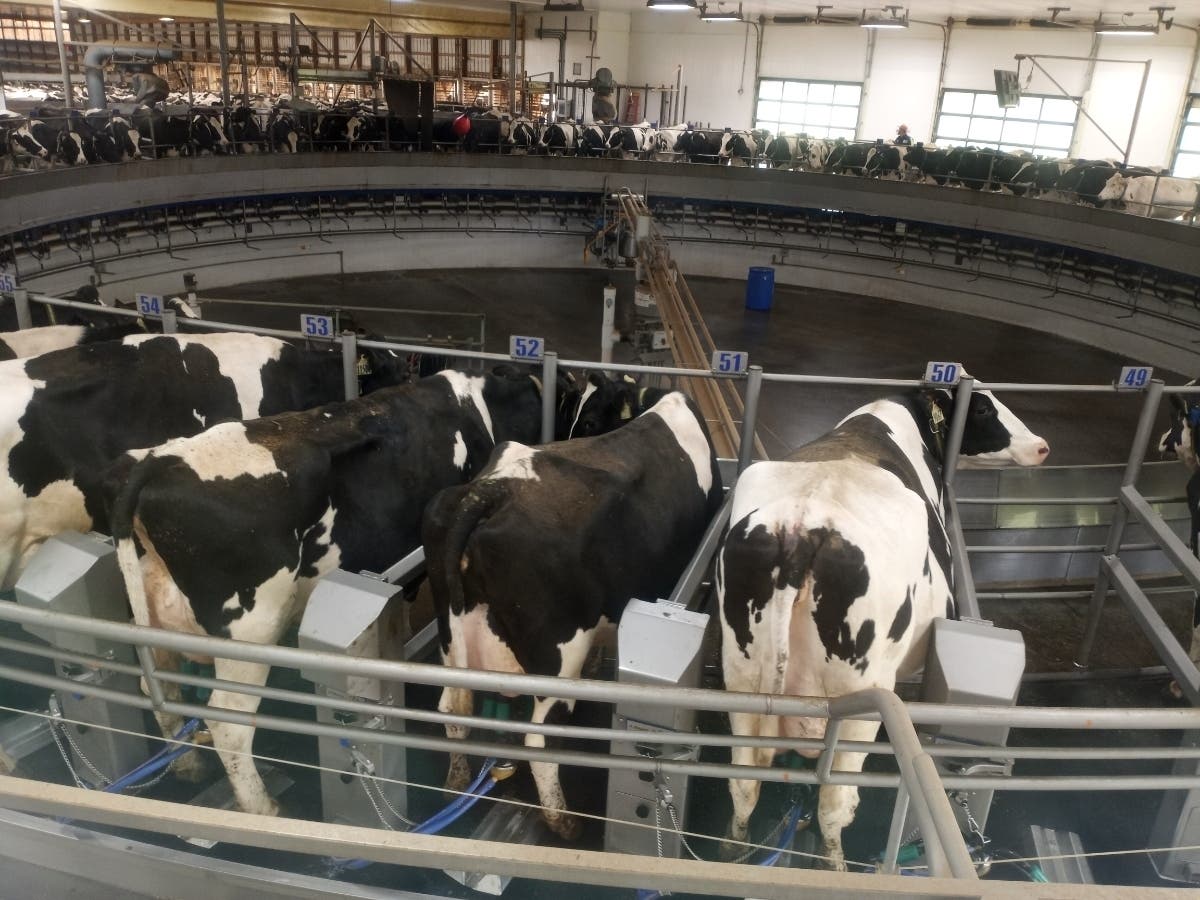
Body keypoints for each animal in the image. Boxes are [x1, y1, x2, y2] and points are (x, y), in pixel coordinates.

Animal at [105, 369, 554, 820]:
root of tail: (159, 461)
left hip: (157, 614)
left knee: (158, 686)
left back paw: (187, 765)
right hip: (250, 631)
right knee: (229, 723)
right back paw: (263, 808)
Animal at [422, 391, 720, 844]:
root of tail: (491, 490)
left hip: (450, 639)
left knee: (452, 712)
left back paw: (455, 786)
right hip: (558, 662)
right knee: (540, 742)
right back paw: (563, 822)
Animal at [715, 384, 1046, 868]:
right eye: (984, 406)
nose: (1042, 446)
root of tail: (802, 526)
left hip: (740, 674)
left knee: (743, 782)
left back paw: (734, 851)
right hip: (863, 698)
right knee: (835, 802)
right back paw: (834, 861)